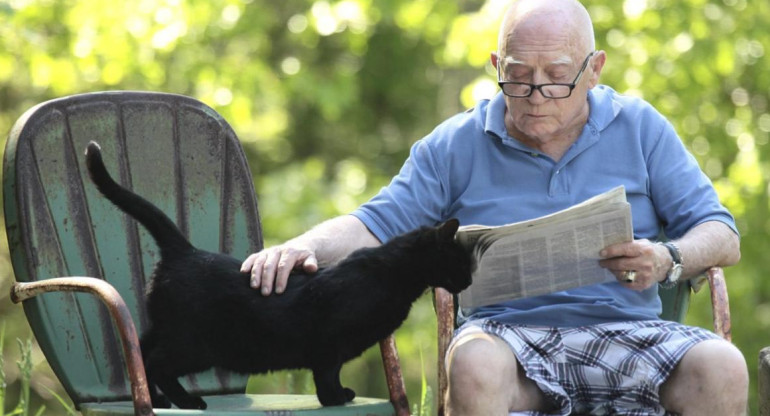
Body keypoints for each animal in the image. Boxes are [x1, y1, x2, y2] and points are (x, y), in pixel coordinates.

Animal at [82, 141, 468, 408]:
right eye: (462, 261)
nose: (468, 280)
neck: (392, 274)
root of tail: (185, 250)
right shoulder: (329, 344)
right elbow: (327, 374)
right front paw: (336, 398)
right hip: (195, 344)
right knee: (156, 361)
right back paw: (189, 401)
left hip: (167, 329)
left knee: (139, 351)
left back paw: (159, 400)